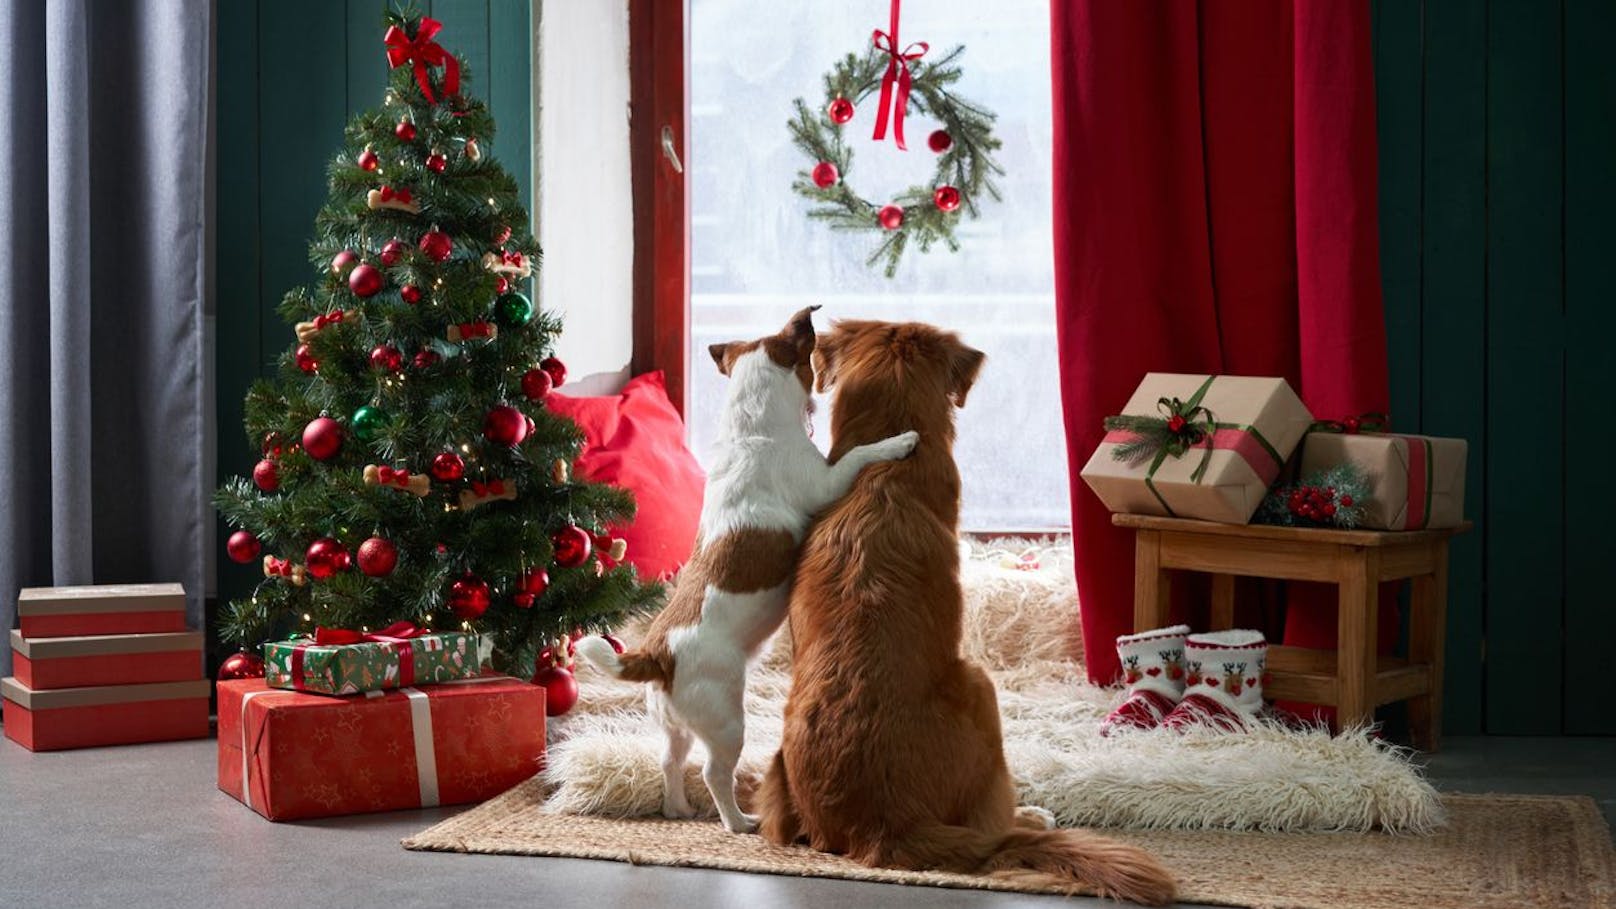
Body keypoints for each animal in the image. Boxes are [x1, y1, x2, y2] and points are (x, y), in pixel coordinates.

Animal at [575, 307, 917, 834]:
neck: (752, 428)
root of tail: (657, 655)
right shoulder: (827, 482)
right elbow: (858, 455)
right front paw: (898, 441)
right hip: (726, 720)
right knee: (715, 771)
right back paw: (738, 822)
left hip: (675, 726)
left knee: (670, 760)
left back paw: (678, 808)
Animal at [756, 318, 1176, 899]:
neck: (884, 466)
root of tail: (882, 826)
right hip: (981, 687)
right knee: (991, 819)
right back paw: (1030, 816)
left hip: (775, 770)